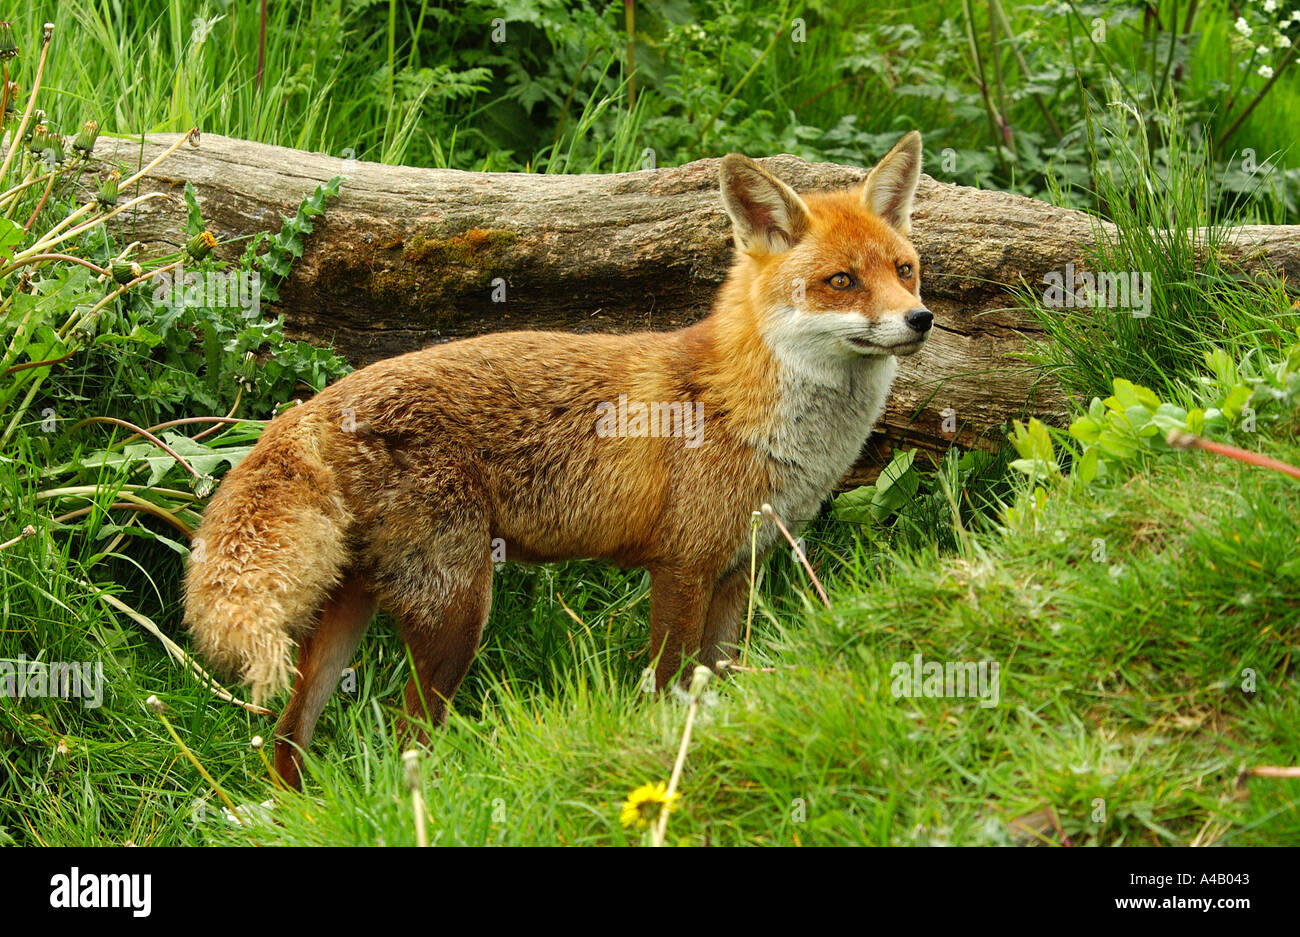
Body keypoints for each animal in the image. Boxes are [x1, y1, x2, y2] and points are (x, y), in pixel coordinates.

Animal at [184, 131, 932, 790]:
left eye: (904, 271)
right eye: (842, 280)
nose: (920, 319)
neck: (746, 410)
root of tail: (315, 406)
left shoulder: (739, 570)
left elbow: (717, 682)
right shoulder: (683, 568)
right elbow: (667, 687)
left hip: (353, 610)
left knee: (288, 737)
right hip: (457, 610)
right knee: (403, 738)